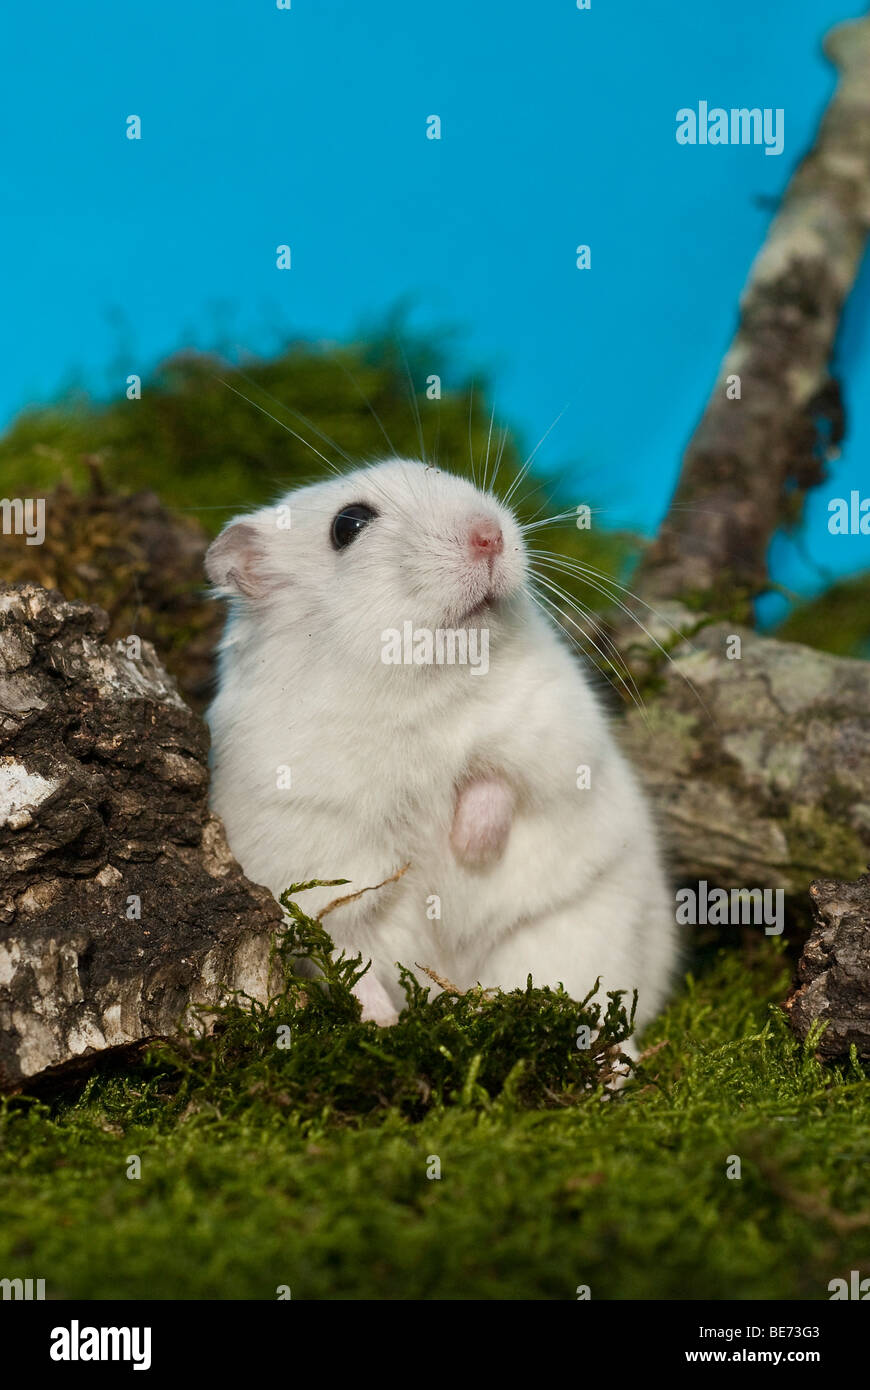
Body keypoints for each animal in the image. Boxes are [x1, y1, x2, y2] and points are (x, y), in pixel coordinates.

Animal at [205, 459, 679, 1035]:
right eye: (349, 524)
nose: (490, 534)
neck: (417, 687)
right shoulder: (306, 843)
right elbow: (338, 947)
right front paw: (382, 1025)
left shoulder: (548, 729)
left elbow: (496, 777)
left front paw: (470, 848)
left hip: (575, 931)